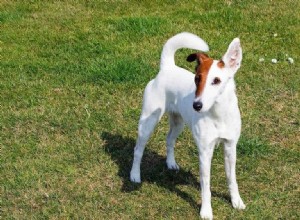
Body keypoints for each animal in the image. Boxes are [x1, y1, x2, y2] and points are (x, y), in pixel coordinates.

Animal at [130, 31, 245, 219]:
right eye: (197, 79)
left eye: (216, 80)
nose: (196, 105)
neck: (218, 114)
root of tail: (167, 67)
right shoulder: (205, 152)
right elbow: (206, 187)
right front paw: (206, 211)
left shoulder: (230, 147)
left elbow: (232, 179)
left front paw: (236, 202)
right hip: (147, 123)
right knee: (138, 150)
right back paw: (134, 175)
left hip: (178, 123)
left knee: (169, 139)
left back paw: (170, 163)